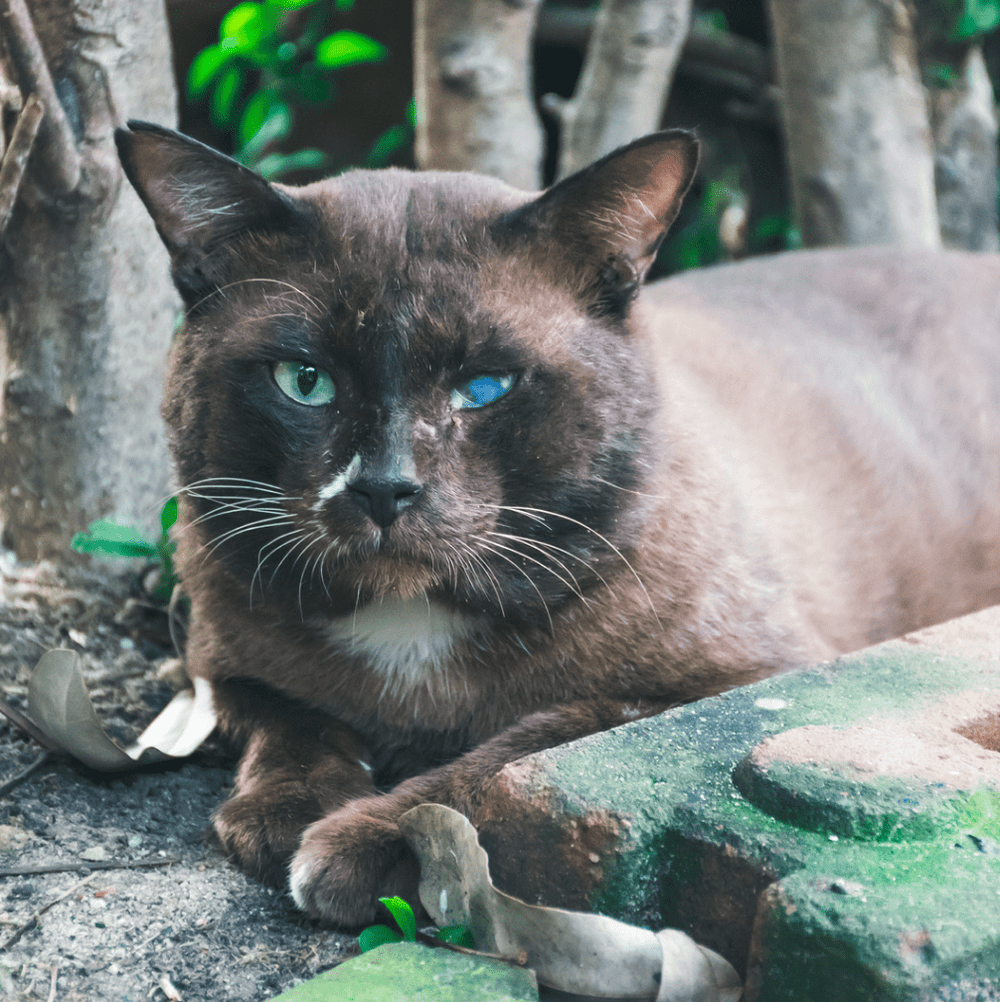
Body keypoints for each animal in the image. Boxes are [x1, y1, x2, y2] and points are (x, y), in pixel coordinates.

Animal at [115, 121, 1000, 925]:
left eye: (485, 386)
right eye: (305, 381)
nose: (385, 488)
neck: (412, 632)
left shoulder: (746, 686)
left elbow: (525, 746)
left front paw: (360, 841)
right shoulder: (217, 663)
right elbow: (284, 715)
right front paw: (288, 808)